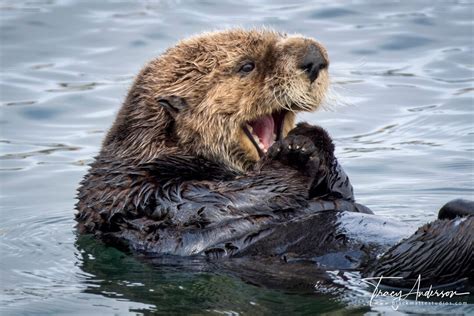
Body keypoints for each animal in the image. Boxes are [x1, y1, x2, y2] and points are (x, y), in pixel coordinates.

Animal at [76, 28, 472, 290]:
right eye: (247, 66)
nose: (314, 58)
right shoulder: (150, 196)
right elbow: (220, 201)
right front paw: (297, 152)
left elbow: (341, 194)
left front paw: (314, 141)